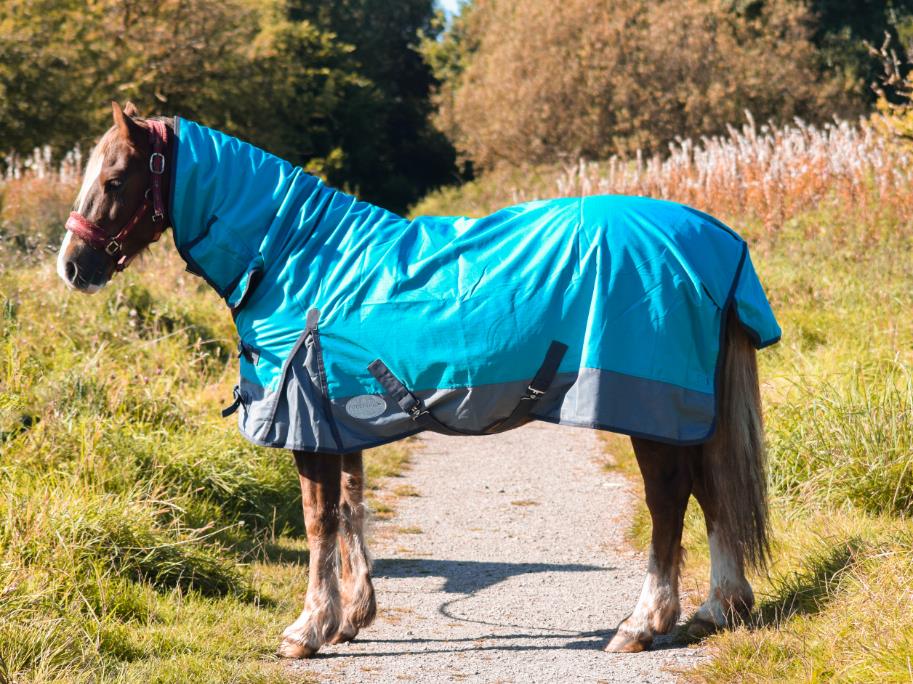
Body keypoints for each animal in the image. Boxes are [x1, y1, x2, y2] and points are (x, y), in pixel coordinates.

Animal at [57, 101, 778, 657]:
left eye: (115, 179)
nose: (72, 266)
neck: (296, 256)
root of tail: (714, 241)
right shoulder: (337, 417)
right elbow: (349, 510)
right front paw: (351, 618)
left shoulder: (307, 422)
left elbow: (318, 520)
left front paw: (307, 629)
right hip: (689, 408)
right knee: (713, 491)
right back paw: (719, 607)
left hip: (651, 405)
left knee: (670, 500)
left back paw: (643, 623)